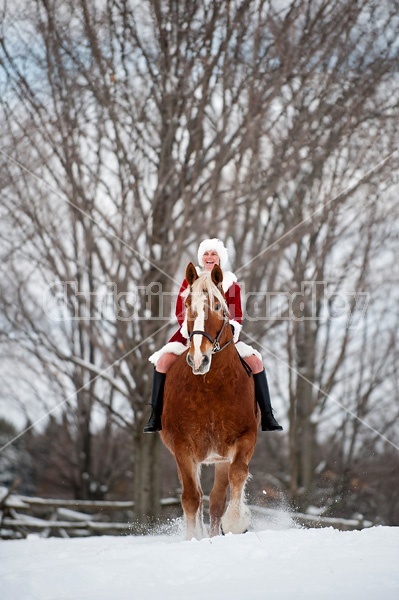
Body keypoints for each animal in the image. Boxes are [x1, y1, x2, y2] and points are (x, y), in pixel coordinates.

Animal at [159, 262, 260, 540]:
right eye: (187, 304)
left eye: (216, 306)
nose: (199, 359)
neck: (211, 386)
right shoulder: (182, 447)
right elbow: (191, 497)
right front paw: (194, 537)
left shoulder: (243, 439)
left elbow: (238, 474)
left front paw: (235, 522)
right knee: (198, 496)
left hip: (220, 459)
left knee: (215, 499)